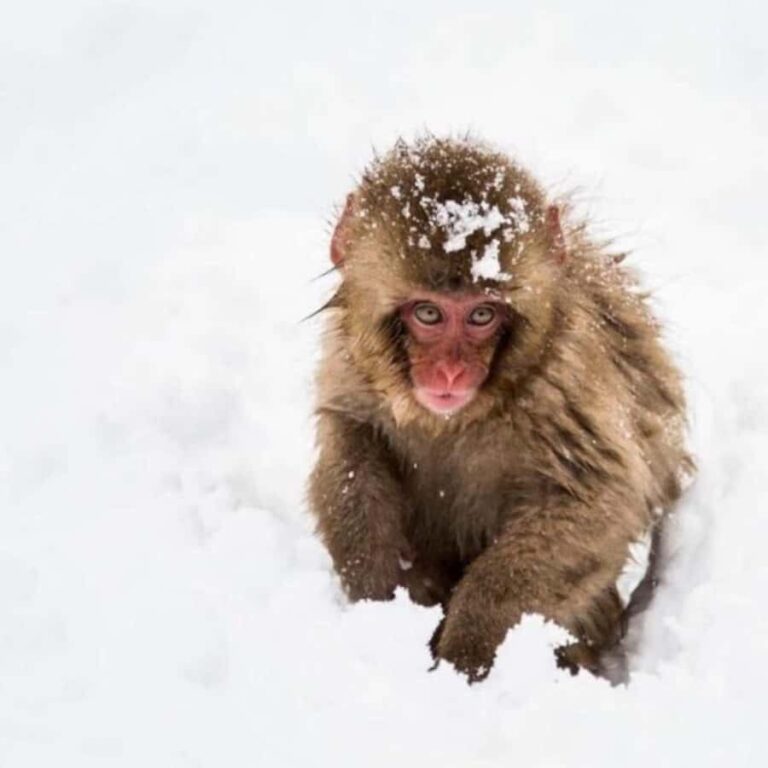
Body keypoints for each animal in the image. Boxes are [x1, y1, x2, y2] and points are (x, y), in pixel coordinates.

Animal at [308, 136, 692, 682]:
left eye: (482, 315)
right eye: (429, 313)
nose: (450, 373)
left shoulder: (566, 384)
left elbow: (599, 500)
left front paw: (466, 646)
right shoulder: (353, 367)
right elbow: (352, 445)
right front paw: (375, 600)